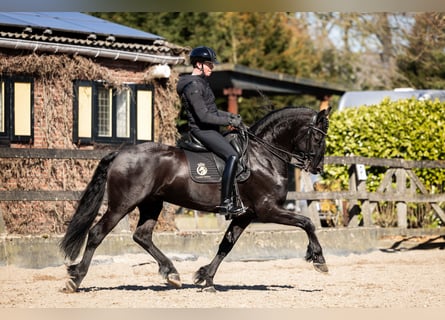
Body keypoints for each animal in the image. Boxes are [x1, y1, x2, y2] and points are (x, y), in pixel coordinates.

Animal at [59, 105, 330, 292]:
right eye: (318, 137)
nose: (317, 167)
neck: (263, 156)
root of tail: (120, 153)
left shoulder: (246, 215)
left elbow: (226, 245)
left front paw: (205, 277)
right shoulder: (267, 210)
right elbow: (307, 223)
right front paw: (319, 259)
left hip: (152, 203)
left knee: (142, 236)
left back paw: (171, 273)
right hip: (123, 204)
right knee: (97, 233)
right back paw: (75, 278)